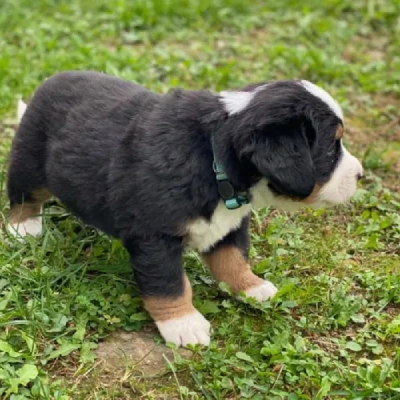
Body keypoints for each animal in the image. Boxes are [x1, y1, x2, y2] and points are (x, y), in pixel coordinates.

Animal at [6, 72, 364, 346]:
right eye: (331, 149)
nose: (361, 174)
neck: (214, 158)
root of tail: (49, 81)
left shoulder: (230, 225)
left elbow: (233, 260)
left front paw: (252, 287)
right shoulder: (155, 237)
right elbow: (170, 286)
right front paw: (184, 325)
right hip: (31, 160)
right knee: (23, 194)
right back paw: (23, 227)